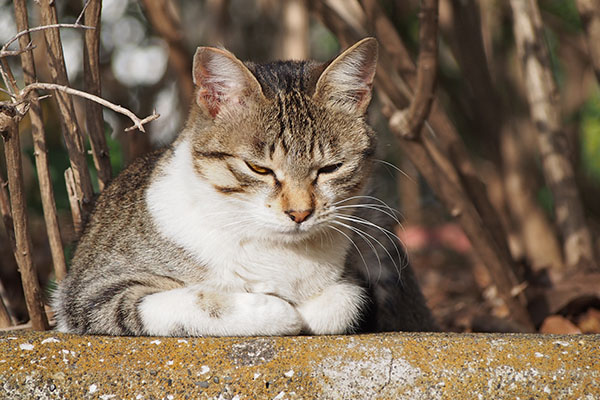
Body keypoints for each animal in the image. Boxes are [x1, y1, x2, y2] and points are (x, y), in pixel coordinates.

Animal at [52, 38, 436, 338]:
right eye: (259, 168)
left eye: (330, 168)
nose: (300, 213)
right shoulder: (90, 294)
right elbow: (185, 302)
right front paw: (276, 311)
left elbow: (347, 301)